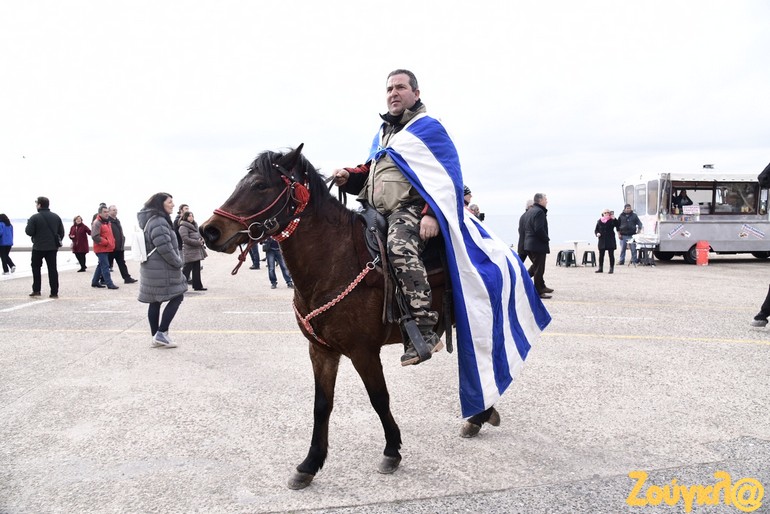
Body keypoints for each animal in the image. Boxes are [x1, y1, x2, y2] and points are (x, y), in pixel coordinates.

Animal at [200, 145, 499, 489]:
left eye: (261, 185)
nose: (209, 230)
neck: (333, 259)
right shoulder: (321, 351)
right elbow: (321, 405)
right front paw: (310, 464)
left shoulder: (363, 351)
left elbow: (379, 398)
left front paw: (392, 451)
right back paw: (481, 416)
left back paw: (479, 415)